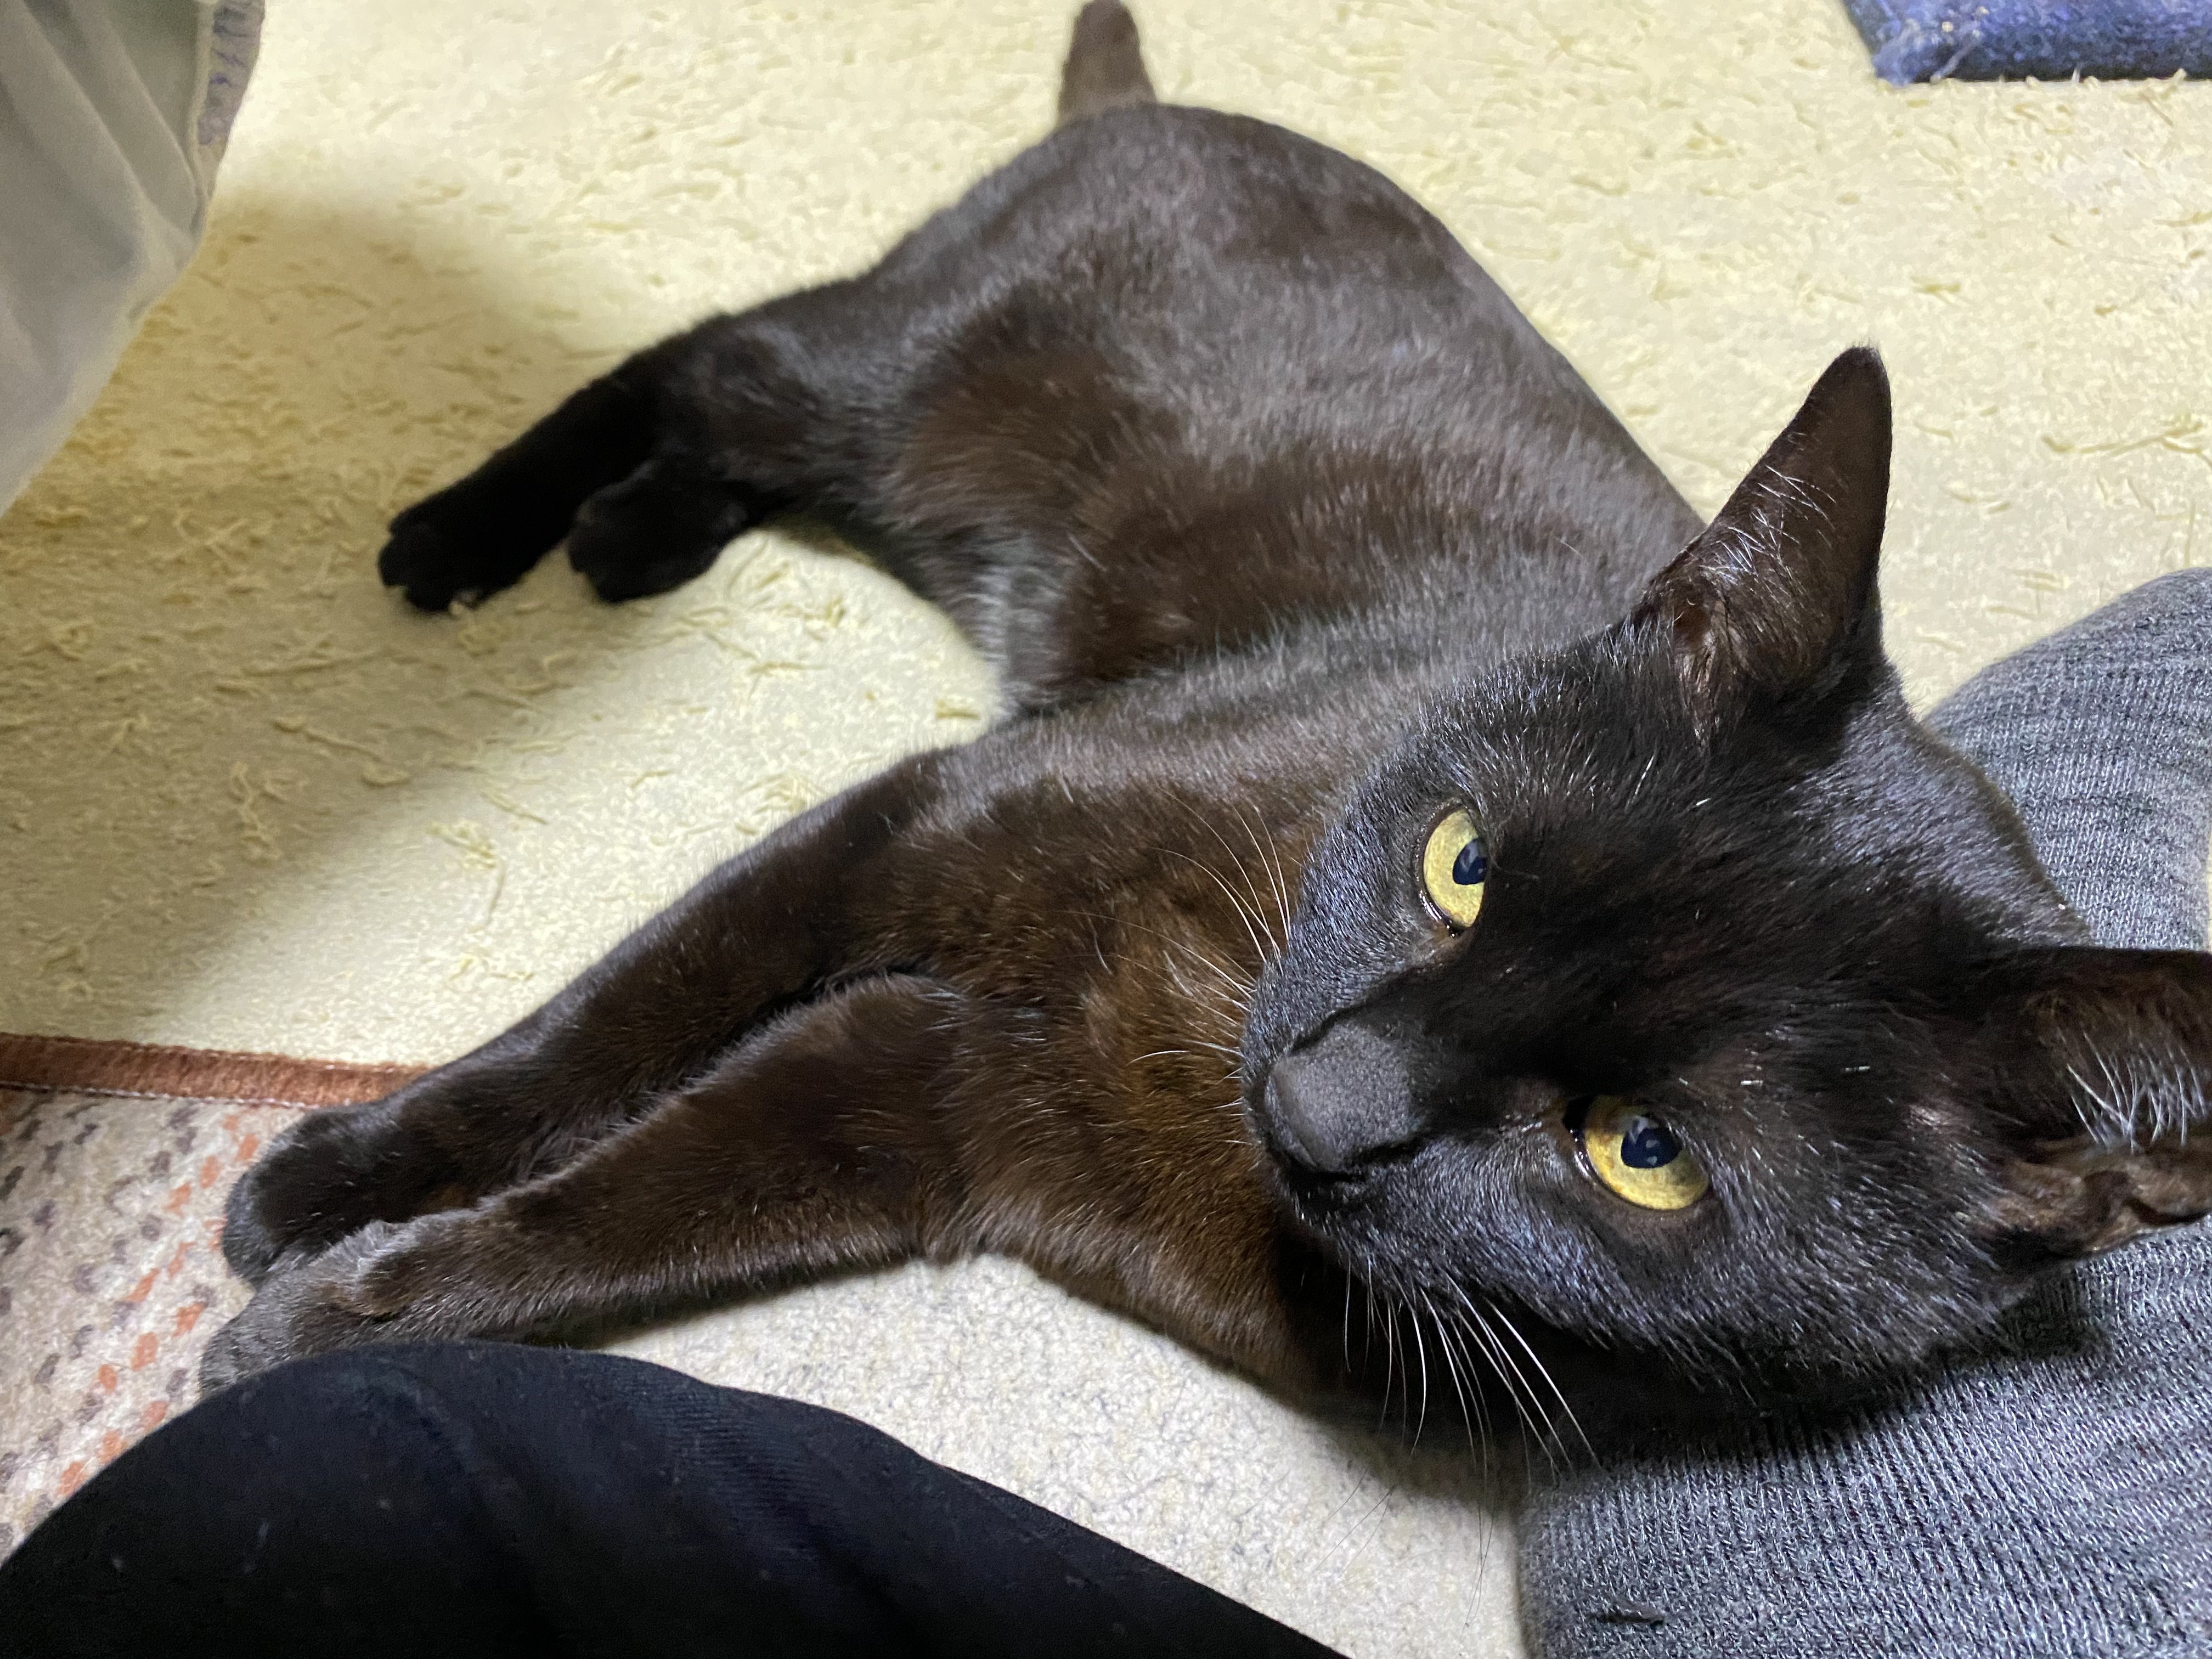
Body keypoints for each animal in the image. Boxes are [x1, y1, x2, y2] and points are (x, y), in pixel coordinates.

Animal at [204, 0, 2212, 1431]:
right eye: (1461, 863)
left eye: (1644, 1156)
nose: (1326, 1097)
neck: (1210, 984)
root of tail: (1155, 104)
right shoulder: (919, 825)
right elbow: (609, 1024)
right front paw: (322, 1187)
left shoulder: (933, 1094)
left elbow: (621, 1220)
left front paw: (328, 1317)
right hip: (884, 377)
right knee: (688, 359)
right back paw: (473, 534)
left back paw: (633, 533)